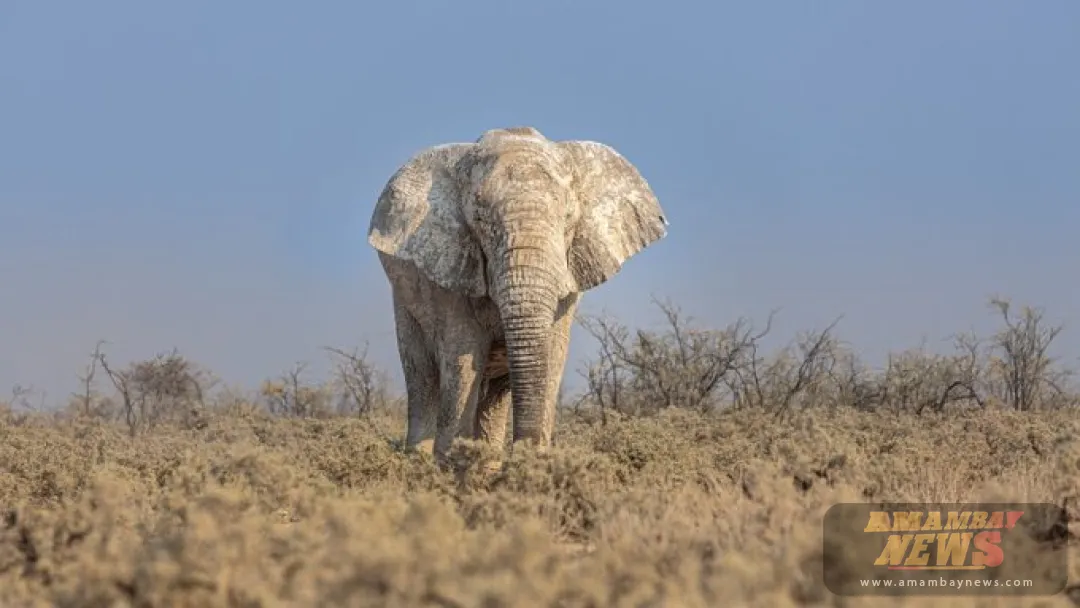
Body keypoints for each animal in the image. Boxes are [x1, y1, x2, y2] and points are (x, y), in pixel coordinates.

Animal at [367, 126, 669, 464]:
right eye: (480, 221)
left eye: (568, 219)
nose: (525, 455)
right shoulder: (449, 270)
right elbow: (462, 357)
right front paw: (450, 465)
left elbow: (553, 356)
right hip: (404, 302)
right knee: (422, 376)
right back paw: (418, 461)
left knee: (494, 395)